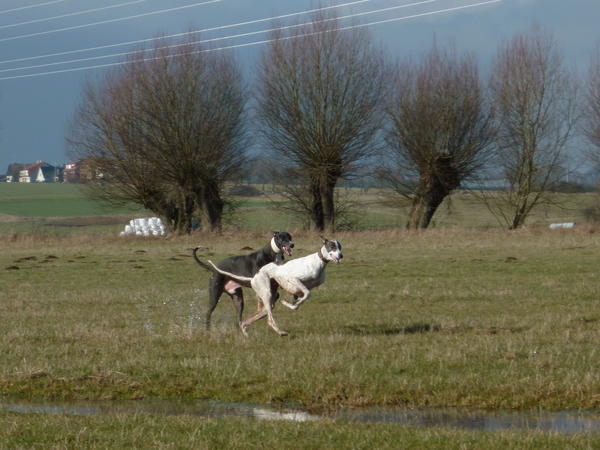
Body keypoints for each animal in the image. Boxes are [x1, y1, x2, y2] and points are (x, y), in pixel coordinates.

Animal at [210, 237, 342, 336]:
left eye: (340, 247)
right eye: (332, 246)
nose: (341, 255)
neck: (319, 261)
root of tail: (253, 277)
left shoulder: (299, 291)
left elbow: (299, 300)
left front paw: (290, 303)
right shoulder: (293, 279)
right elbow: (307, 294)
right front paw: (288, 304)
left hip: (267, 300)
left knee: (249, 319)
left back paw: (245, 331)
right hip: (267, 295)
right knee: (269, 320)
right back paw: (280, 332)